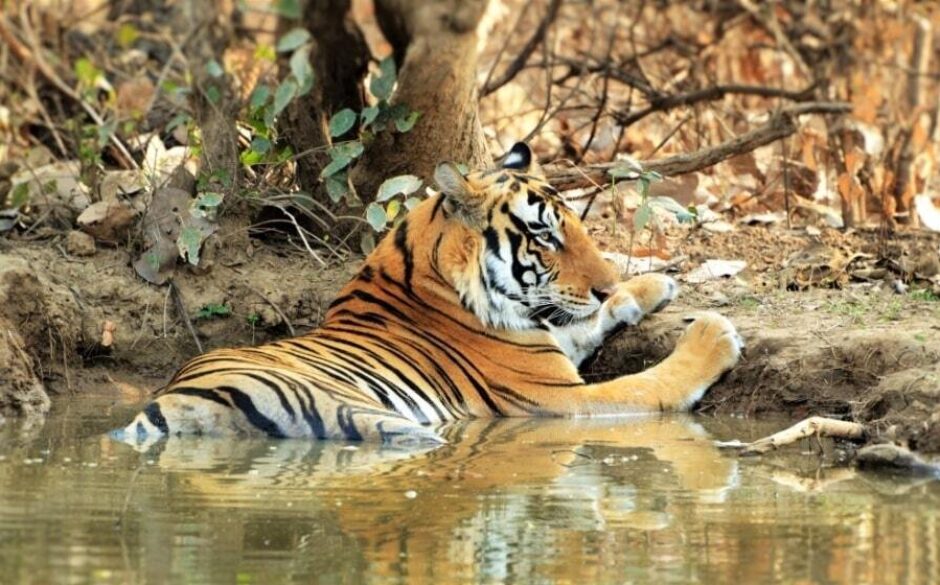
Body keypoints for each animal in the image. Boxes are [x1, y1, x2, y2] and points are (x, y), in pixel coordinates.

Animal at [112, 144, 740, 444]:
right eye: (544, 235)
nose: (605, 280)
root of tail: (168, 404)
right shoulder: (557, 398)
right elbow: (650, 384)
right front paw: (712, 335)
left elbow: (582, 318)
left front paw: (649, 284)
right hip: (377, 419)